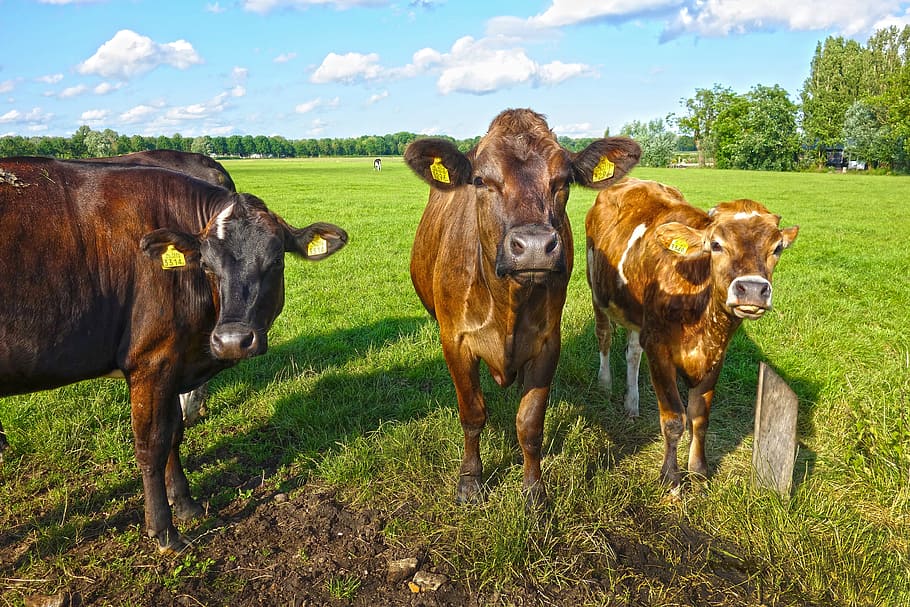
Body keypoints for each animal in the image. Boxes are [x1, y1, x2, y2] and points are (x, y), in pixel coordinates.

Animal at [0, 156, 350, 552]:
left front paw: (184, 503)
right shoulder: (151, 363)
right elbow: (151, 445)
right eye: (207, 265)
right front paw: (163, 529)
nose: (232, 340)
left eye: (277, 260)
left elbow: (174, 433)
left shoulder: (171, 363)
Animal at [406, 110, 640, 508]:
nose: (533, 247)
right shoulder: (456, 341)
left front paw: (533, 490)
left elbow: (530, 423)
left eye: (562, 181)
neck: (507, 305)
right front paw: (470, 481)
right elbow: (472, 414)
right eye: (481, 180)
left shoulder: (547, 343)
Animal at [588, 178, 800, 486]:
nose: (751, 289)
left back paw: (632, 403)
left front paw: (698, 470)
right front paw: (670, 477)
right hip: (597, 292)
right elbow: (674, 419)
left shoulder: (715, 354)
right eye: (716, 244)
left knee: (632, 354)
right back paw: (605, 384)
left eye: (778, 248)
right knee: (604, 335)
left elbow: (699, 418)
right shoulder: (659, 348)